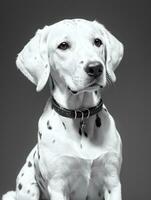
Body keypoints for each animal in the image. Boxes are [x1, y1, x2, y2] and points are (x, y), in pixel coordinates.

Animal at [2, 19, 124, 200]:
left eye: (97, 42)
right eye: (63, 45)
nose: (95, 67)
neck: (81, 116)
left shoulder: (112, 181)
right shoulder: (58, 185)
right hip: (28, 188)